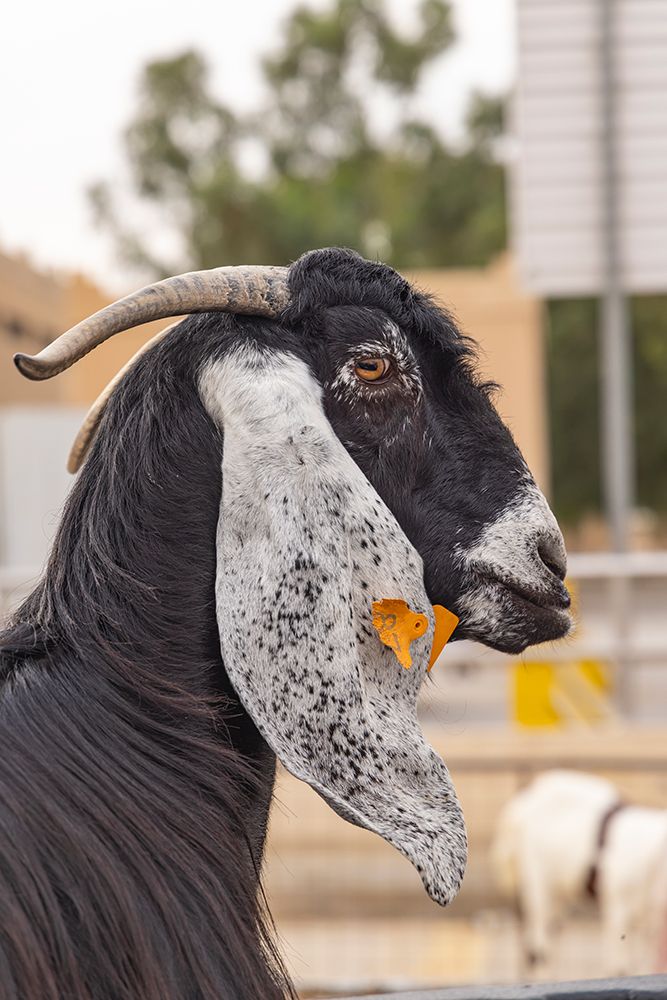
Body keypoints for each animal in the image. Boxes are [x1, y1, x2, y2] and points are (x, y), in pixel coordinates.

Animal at [493, 769, 667, 976]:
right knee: (540, 944)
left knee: (551, 933)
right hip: (538, 878)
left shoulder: (649, 924)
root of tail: (522, 807)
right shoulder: (618, 907)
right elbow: (619, 967)